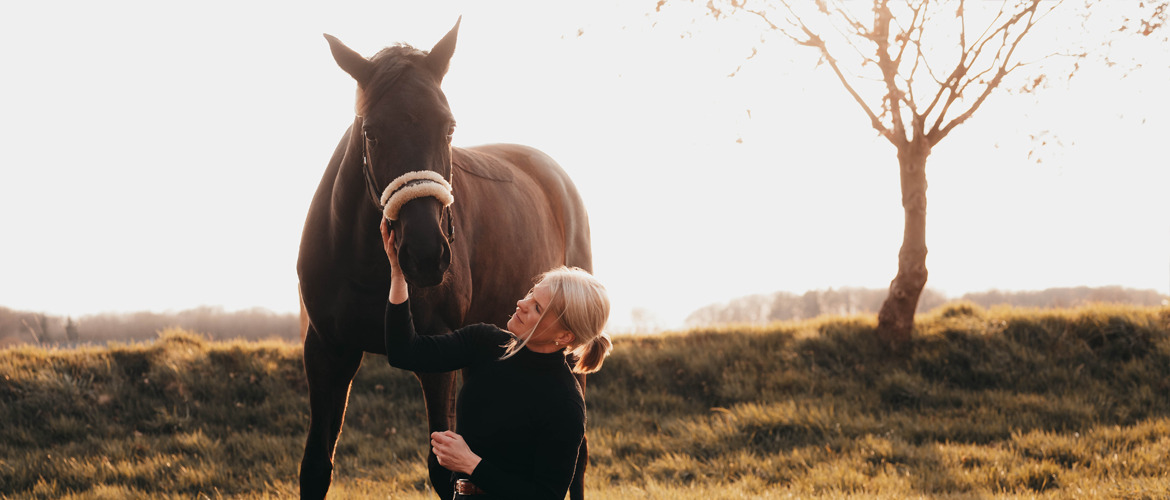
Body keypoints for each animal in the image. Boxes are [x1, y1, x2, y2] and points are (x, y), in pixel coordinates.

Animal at [297, 20, 594, 500]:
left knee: (578, 461)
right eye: (371, 132)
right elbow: (316, 467)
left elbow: (443, 471)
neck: (362, 266)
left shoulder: (435, 356)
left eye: (449, 128)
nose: (425, 255)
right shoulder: (327, 351)